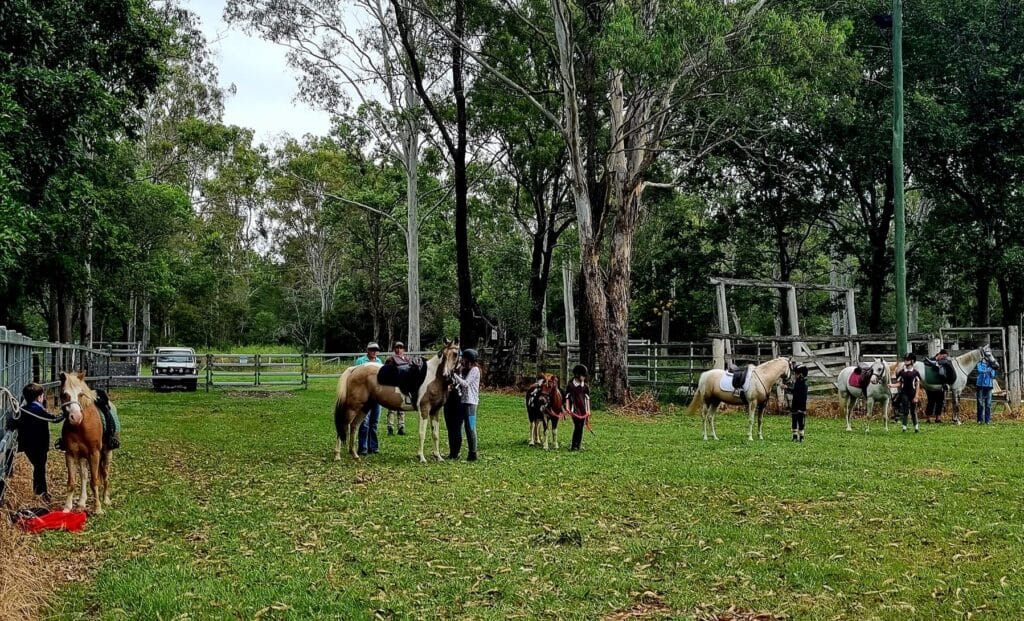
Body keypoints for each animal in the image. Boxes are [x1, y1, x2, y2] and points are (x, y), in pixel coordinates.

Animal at [58, 375, 111, 516]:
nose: (75, 417)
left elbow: (94, 482)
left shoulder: (94, 454)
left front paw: (97, 508)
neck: (81, 426)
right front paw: (67, 508)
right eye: (64, 394)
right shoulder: (70, 454)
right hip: (82, 457)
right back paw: (82, 503)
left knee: (105, 474)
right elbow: (72, 482)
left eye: (80, 394)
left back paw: (106, 499)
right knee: (84, 476)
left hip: (106, 454)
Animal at [333, 340, 462, 463]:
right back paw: (337, 456)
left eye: (455, 354)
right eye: (444, 355)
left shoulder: (435, 411)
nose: (446, 374)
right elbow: (422, 433)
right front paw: (421, 457)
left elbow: (435, 434)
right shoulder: (424, 410)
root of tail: (354, 369)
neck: (433, 377)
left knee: (354, 426)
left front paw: (438, 457)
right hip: (353, 406)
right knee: (343, 426)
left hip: (365, 407)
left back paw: (355, 455)